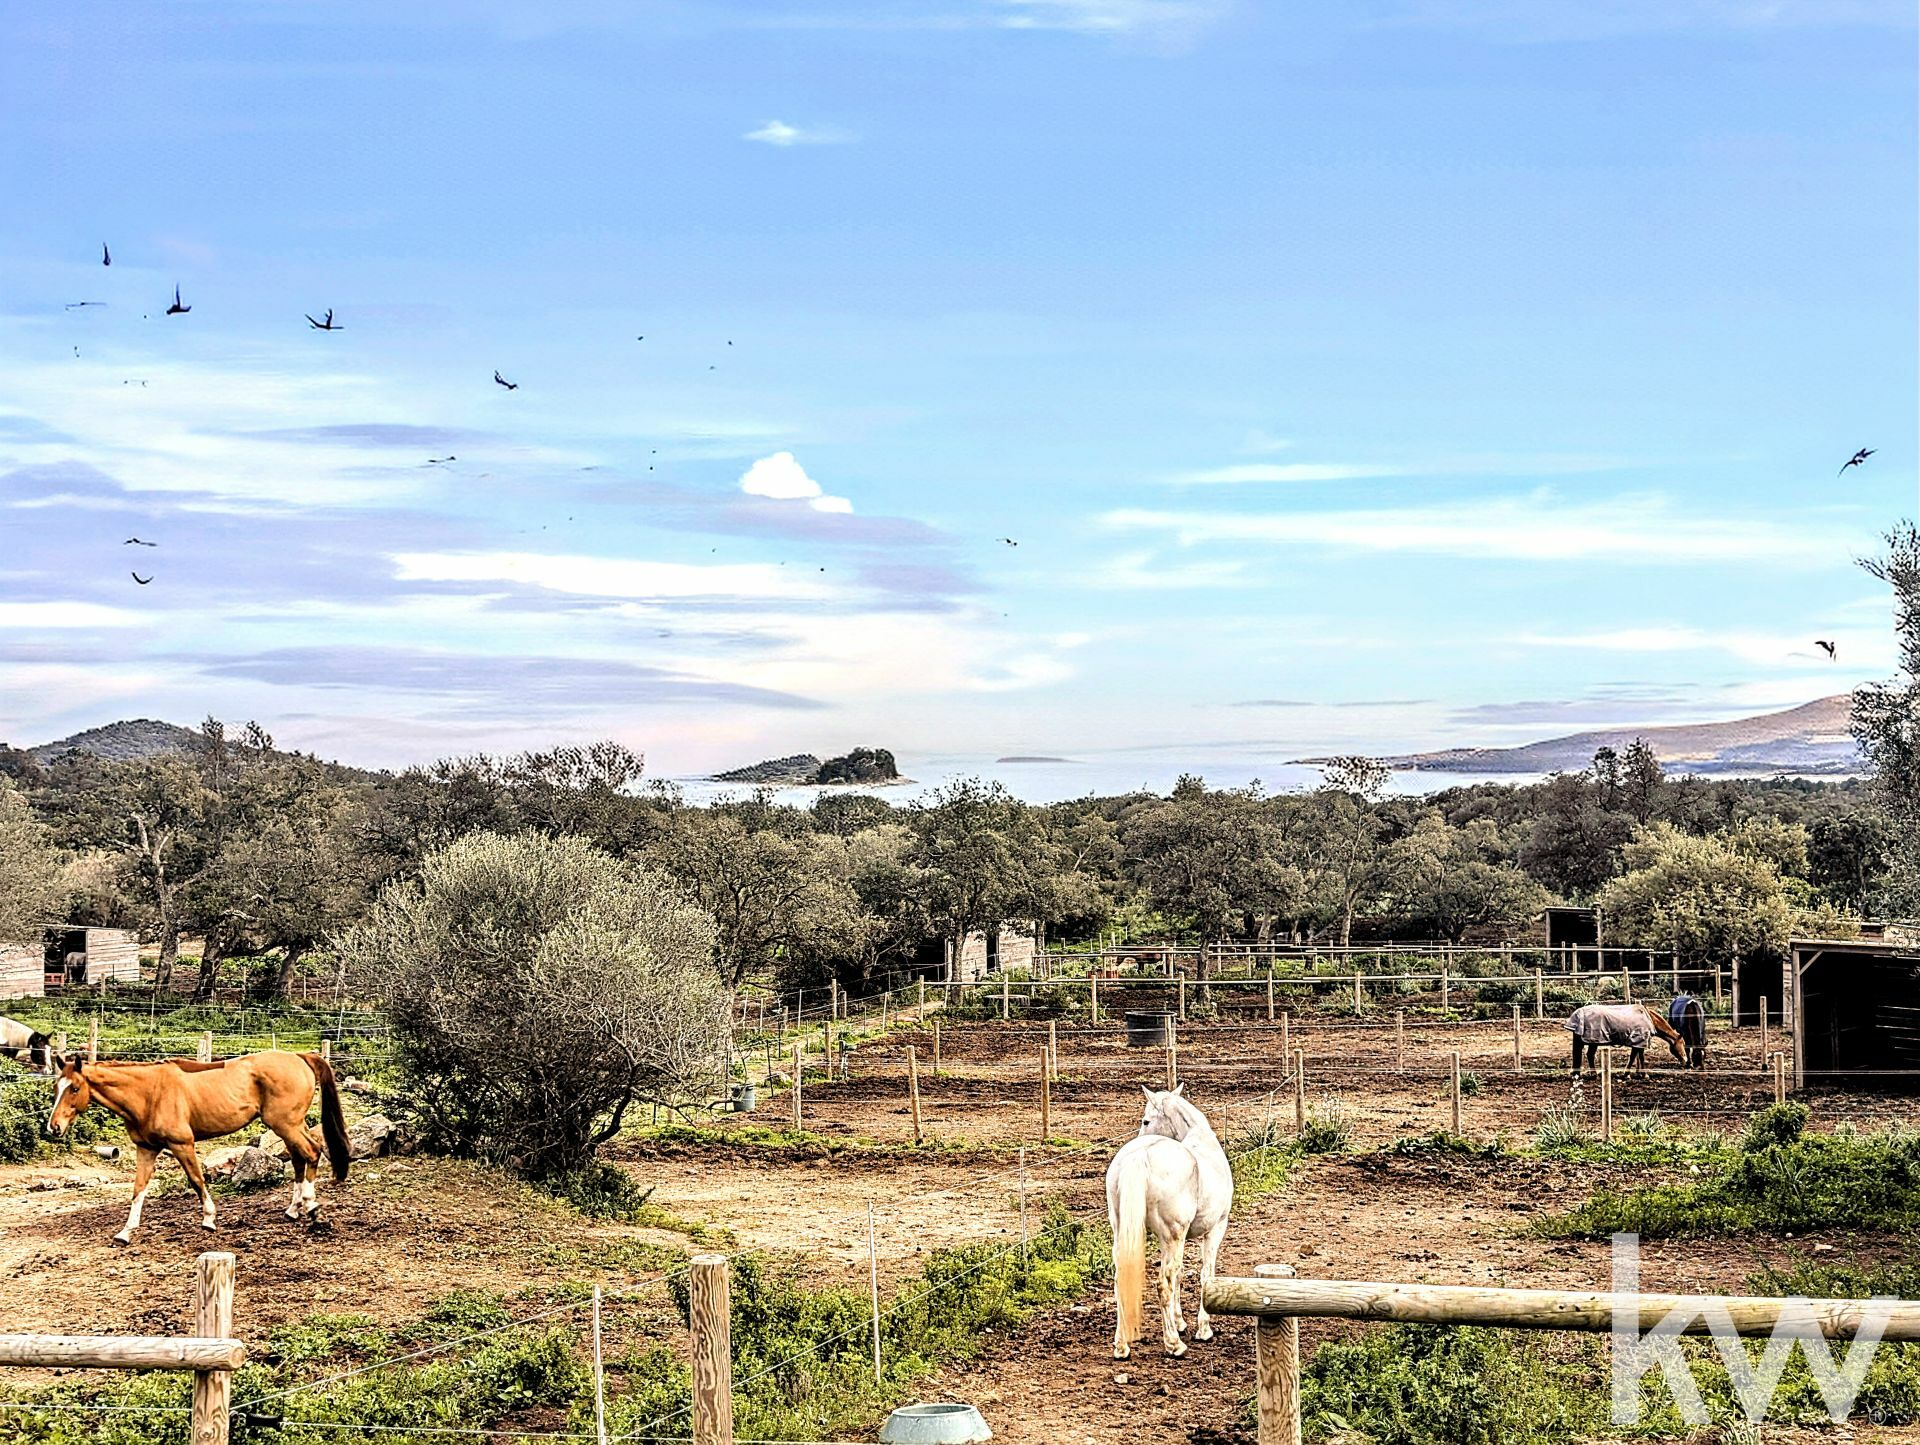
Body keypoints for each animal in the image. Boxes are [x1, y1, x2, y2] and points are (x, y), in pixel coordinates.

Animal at [46, 1050, 349, 1244]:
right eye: (56, 1088)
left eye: (74, 1088)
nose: (54, 1127)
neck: (149, 1093)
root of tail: (300, 1057)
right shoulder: (146, 1149)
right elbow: (138, 1189)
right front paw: (125, 1233)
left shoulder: (182, 1144)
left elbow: (196, 1179)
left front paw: (209, 1220)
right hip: (289, 1126)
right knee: (300, 1157)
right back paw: (294, 1209)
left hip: (286, 1124)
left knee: (312, 1151)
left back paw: (311, 1206)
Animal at [1106, 1084, 1234, 1360]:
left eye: (1146, 1120)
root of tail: (1141, 1154)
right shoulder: (1215, 1229)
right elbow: (1204, 1275)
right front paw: (1202, 1329)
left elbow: (1180, 1274)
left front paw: (1180, 1321)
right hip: (1174, 1236)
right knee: (1163, 1284)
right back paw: (1174, 1345)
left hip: (1124, 1233)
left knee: (1121, 1281)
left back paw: (1121, 1347)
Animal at [1566, 1002, 1694, 1077]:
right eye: (1682, 1044)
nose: (1687, 1063)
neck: (1649, 1018)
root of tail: (1579, 1014)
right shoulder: (1639, 1041)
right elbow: (1637, 1057)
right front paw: (1638, 1074)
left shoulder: (1638, 1043)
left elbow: (1637, 1057)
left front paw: (1635, 1074)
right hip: (1594, 1041)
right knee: (1590, 1055)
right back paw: (1595, 1074)